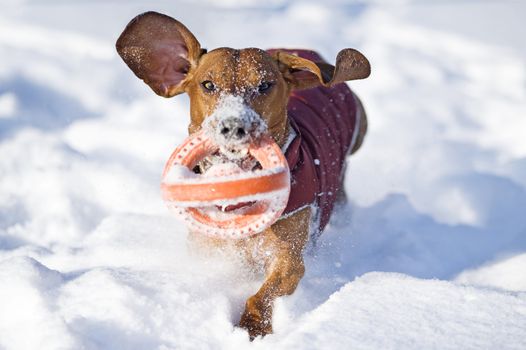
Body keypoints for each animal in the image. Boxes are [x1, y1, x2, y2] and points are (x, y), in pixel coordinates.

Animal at [116, 10, 372, 340]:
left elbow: (263, 294)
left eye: (264, 86)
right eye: (208, 85)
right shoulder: (207, 251)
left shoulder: (289, 260)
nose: (234, 126)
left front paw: (251, 327)